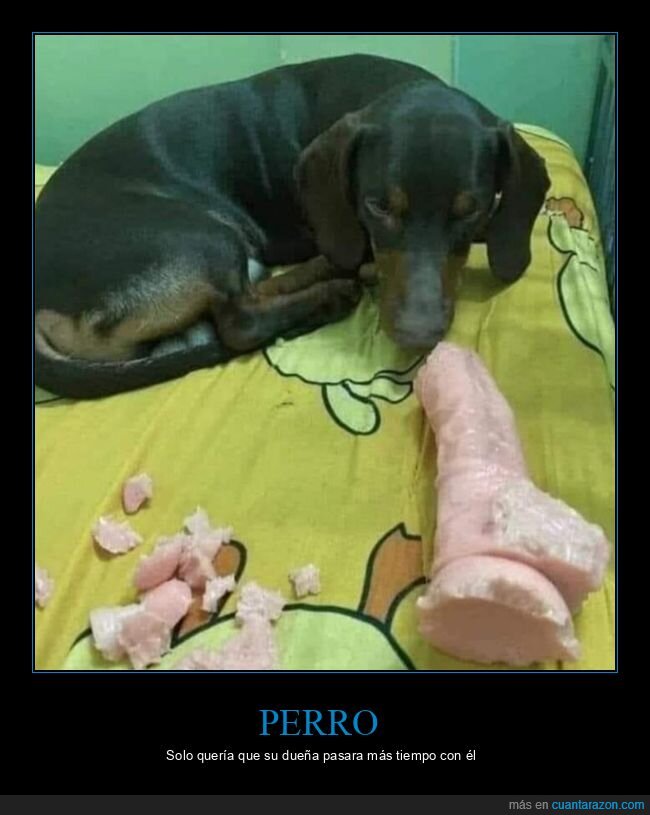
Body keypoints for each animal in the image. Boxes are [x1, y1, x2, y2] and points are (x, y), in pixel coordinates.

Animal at [34, 54, 550, 398]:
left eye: (470, 209)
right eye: (377, 205)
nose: (417, 334)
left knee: (252, 291)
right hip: (201, 237)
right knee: (239, 321)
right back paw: (328, 296)